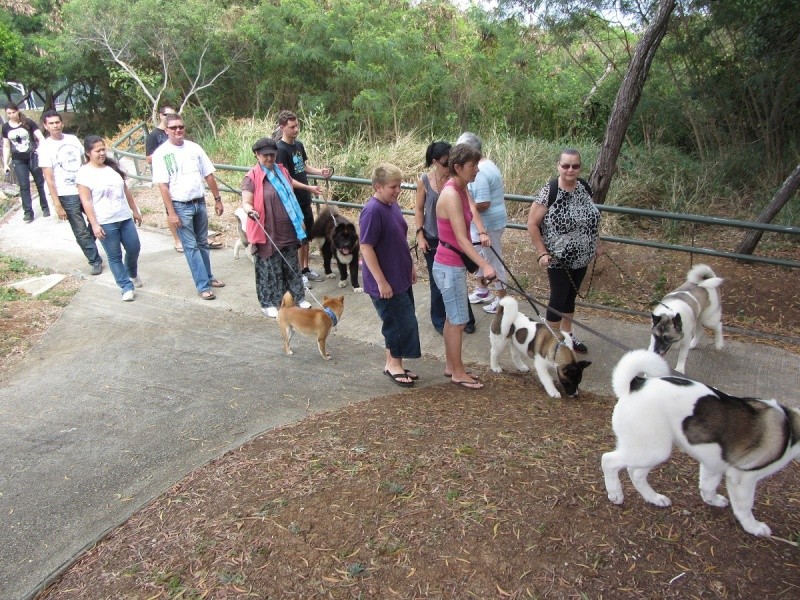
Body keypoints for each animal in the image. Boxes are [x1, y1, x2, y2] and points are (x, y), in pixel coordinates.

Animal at [604, 350, 796, 536]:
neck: (791, 425)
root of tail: (634, 386)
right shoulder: (743, 479)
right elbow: (744, 508)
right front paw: (754, 528)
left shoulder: (713, 463)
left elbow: (708, 487)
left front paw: (713, 500)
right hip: (652, 450)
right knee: (608, 460)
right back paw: (615, 493)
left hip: (651, 449)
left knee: (635, 473)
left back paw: (654, 498)